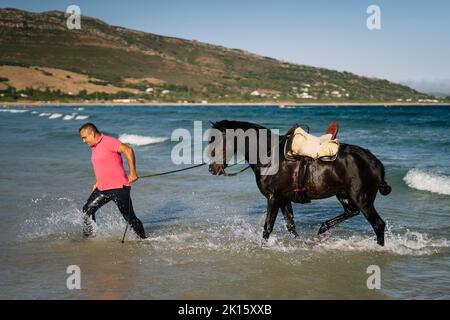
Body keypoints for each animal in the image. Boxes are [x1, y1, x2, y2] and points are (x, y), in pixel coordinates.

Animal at [207, 119, 390, 245]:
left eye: (218, 141)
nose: (212, 168)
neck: (269, 155)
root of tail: (374, 161)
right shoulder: (283, 199)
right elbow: (291, 225)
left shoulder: (273, 198)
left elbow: (268, 227)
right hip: (343, 194)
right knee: (351, 212)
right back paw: (323, 228)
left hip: (362, 199)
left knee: (378, 224)